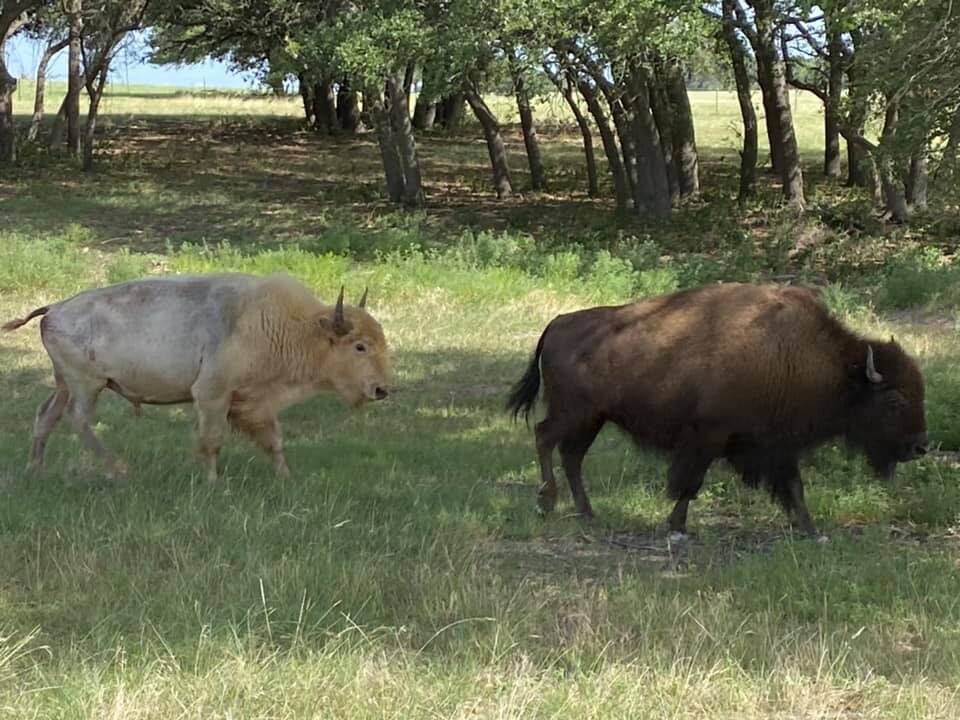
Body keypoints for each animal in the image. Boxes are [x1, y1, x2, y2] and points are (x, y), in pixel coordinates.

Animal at [3, 273, 390, 482]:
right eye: (359, 346)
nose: (382, 389)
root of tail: (54, 309)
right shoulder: (212, 395)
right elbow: (212, 440)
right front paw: (212, 481)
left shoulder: (252, 403)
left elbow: (274, 440)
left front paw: (286, 478)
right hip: (87, 385)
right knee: (78, 420)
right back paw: (121, 470)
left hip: (64, 384)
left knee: (46, 417)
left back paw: (34, 470)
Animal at [507, 283, 928, 538]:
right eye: (895, 400)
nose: (920, 446)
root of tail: (557, 323)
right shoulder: (708, 435)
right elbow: (690, 483)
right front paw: (677, 526)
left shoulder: (777, 446)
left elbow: (794, 487)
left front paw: (810, 529)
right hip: (573, 412)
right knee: (545, 437)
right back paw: (546, 502)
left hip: (592, 419)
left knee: (571, 455)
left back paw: (587, 513)